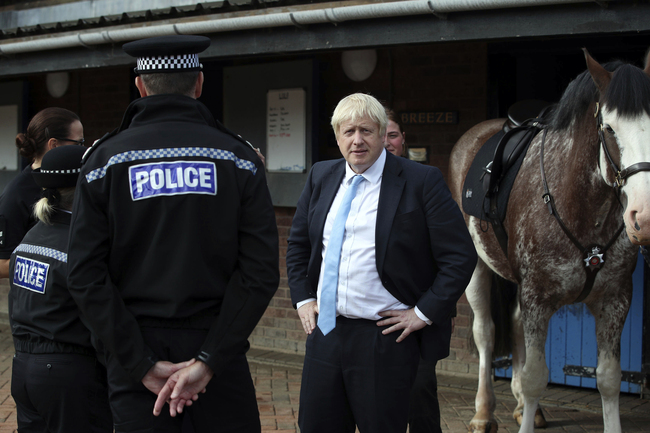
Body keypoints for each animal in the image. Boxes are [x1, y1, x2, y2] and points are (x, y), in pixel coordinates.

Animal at [448, 48, 648, 432]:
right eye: (609, 128)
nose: (643, 215)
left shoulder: (615, 300)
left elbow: (609, 378)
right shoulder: (538, 298)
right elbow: (535, 376)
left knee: (513, 326)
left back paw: (522, 406)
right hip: (478, 267)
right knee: (485, 332)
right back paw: (483, 412)